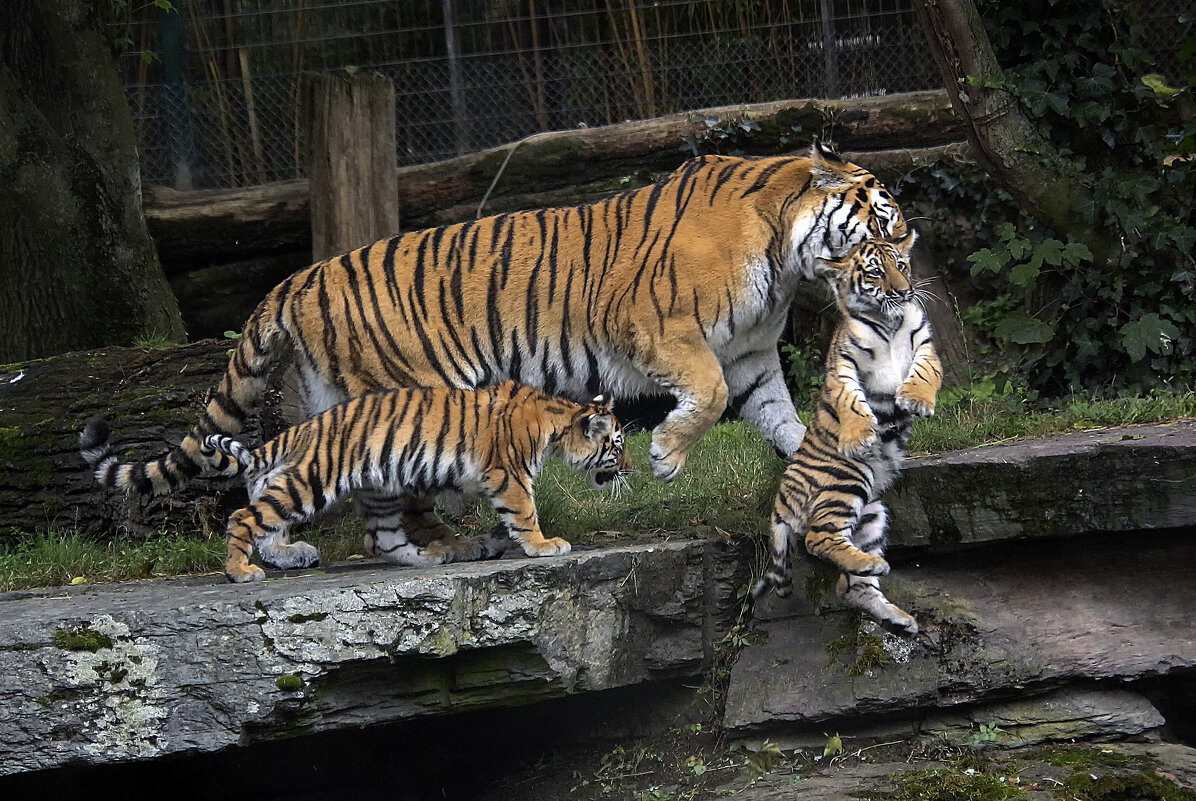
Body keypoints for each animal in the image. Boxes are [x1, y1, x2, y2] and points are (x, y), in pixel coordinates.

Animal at [86, 142, 904, 540]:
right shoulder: (654, 329)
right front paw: (667, 457)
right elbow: (699, 396)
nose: (903, 284)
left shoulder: (753, 359)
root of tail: (296, 279)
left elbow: (787, 421)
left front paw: (820, 459)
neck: (787, 260)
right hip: (410, 390)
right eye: (886, 228)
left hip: (334, 394)